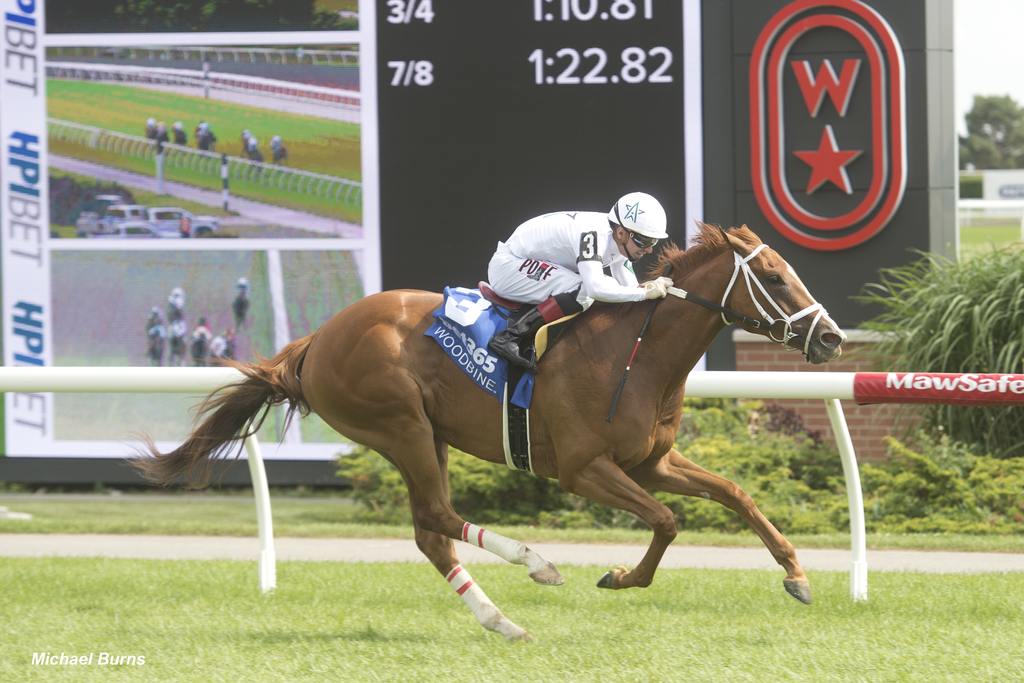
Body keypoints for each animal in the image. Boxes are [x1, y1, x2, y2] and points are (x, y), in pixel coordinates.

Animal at [132, 224, 843, 643]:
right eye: (773, 278)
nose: (832, 337)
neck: (633, 354)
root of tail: (315, 342)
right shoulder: (584, 469)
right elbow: (668, 521)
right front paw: (618, 576)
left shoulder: (650, 462)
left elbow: (735, 494)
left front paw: (797, 574)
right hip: (401, 425)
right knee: (438, 516)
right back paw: (537, 565)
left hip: (429, 435)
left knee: (431, 533)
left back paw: (501, 620)